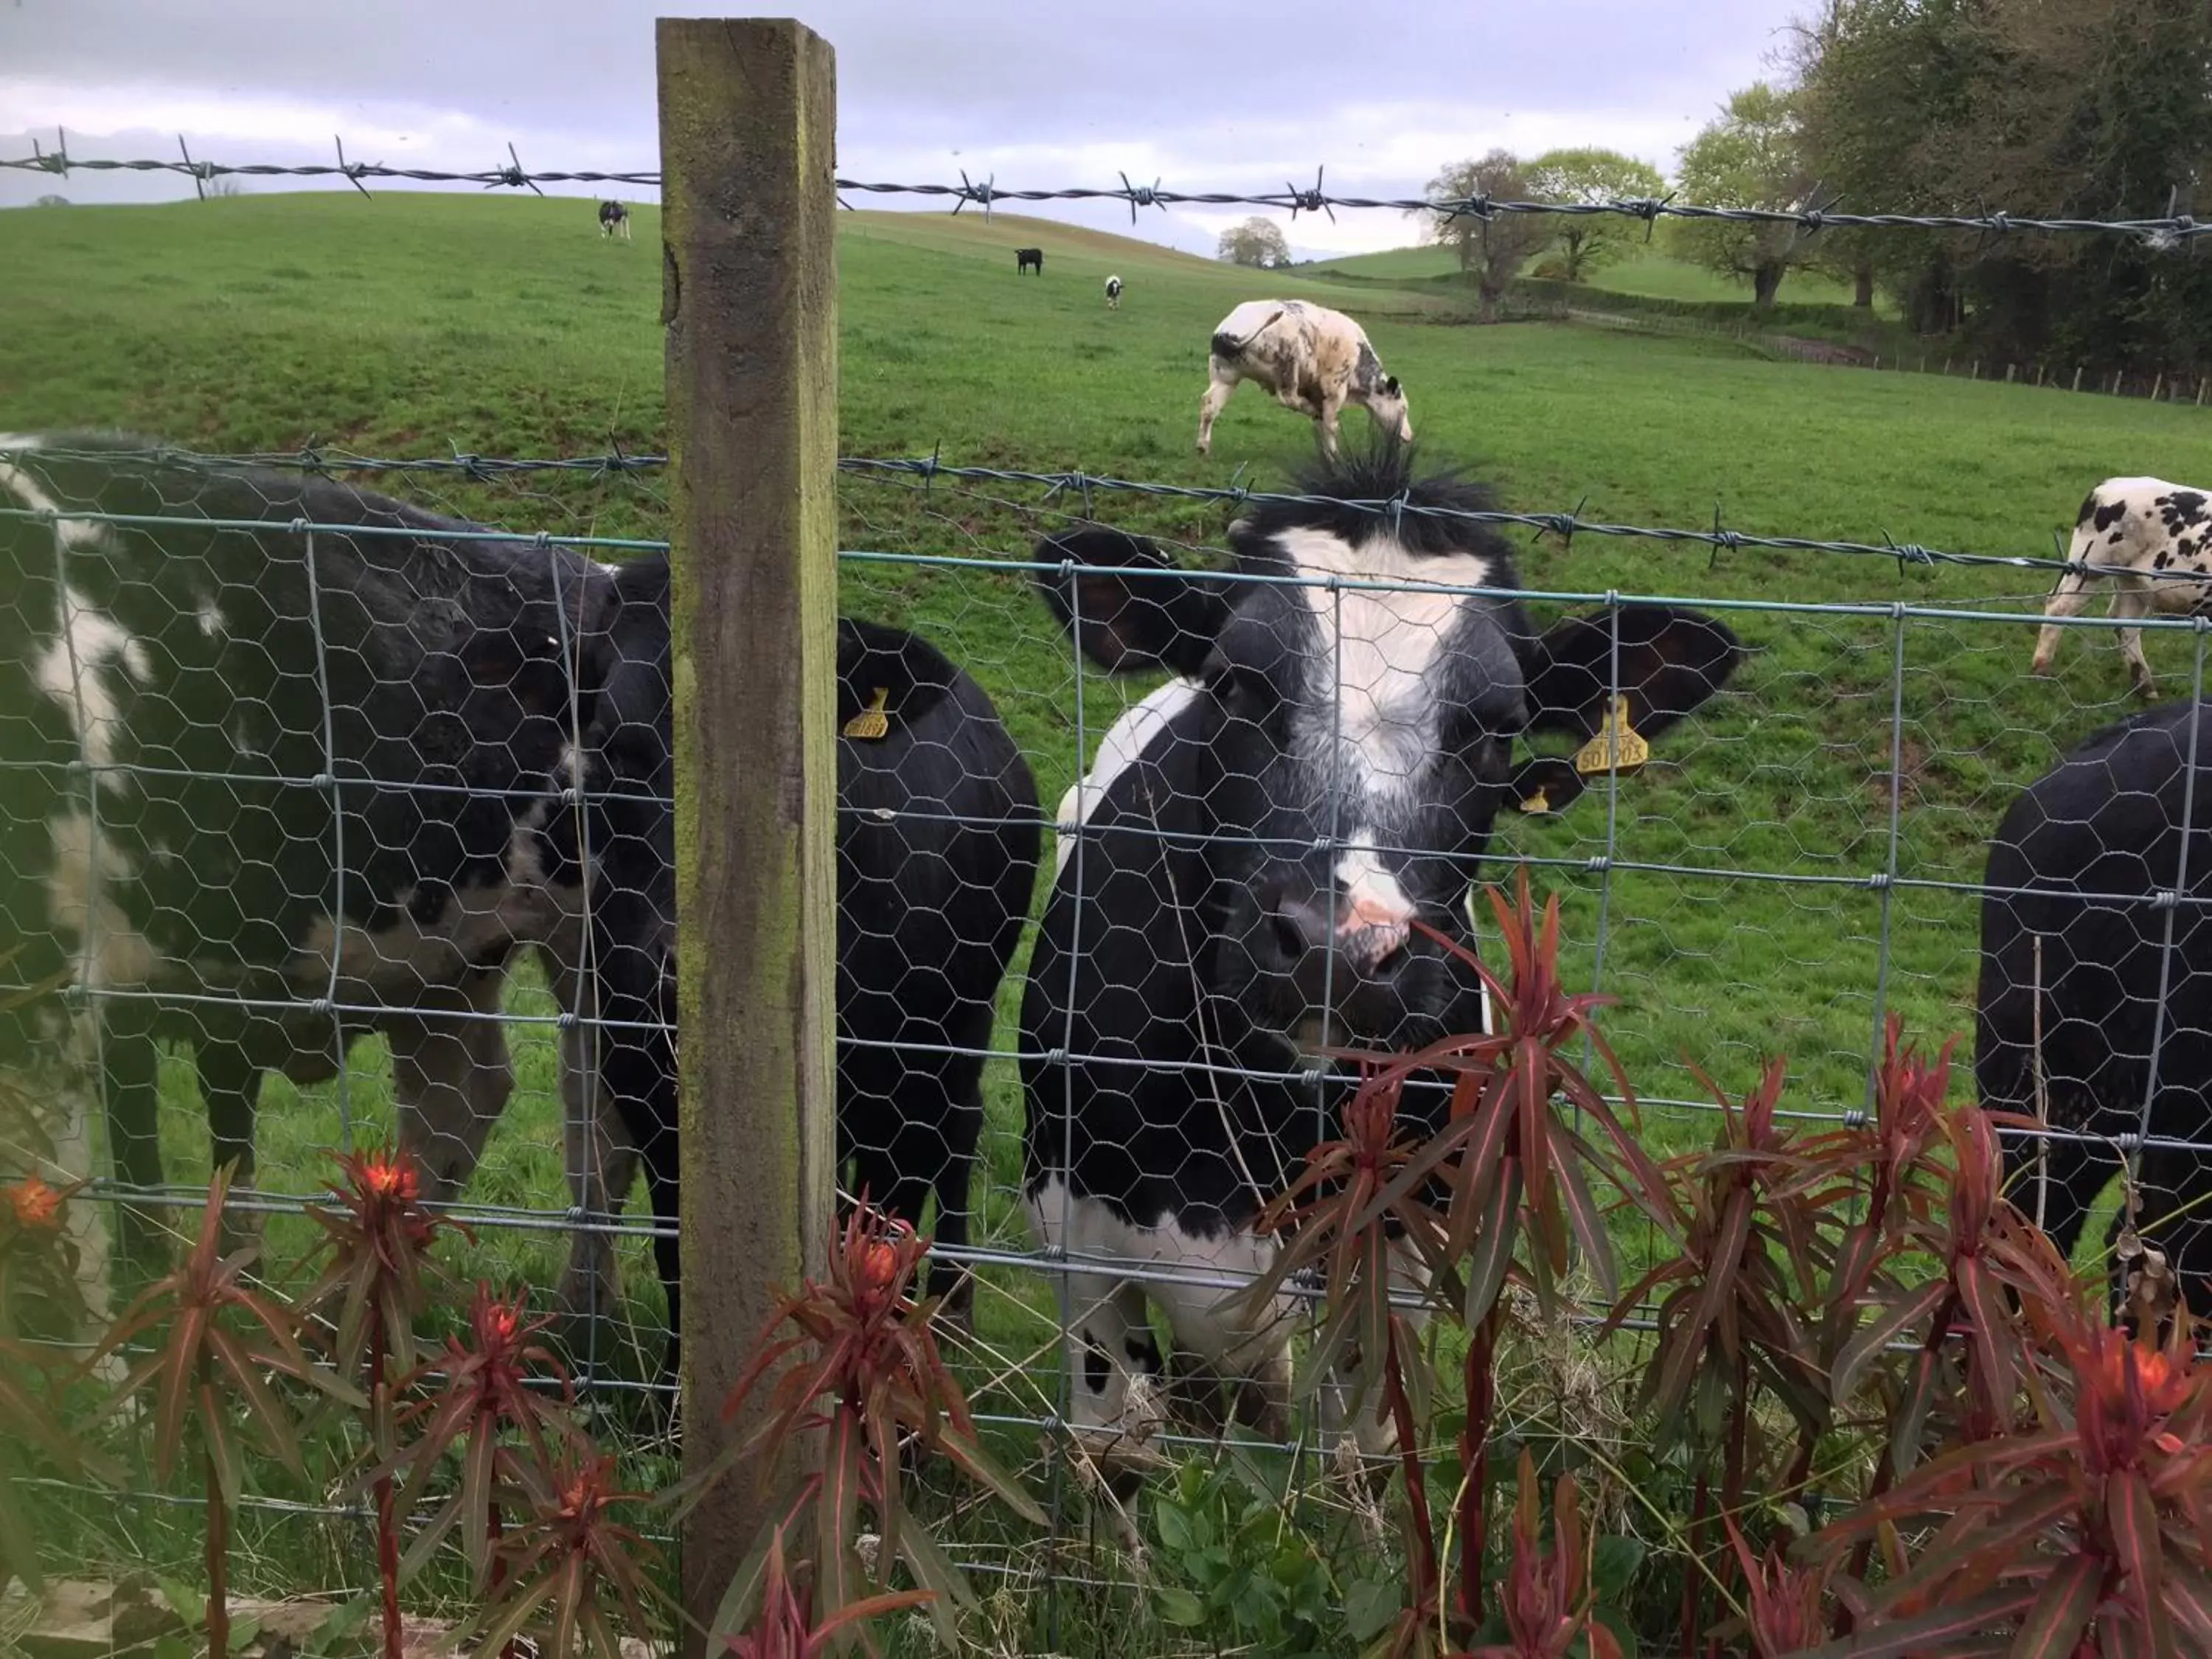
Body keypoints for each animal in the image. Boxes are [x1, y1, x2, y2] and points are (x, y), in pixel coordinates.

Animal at [1013, 445, 1743, 1469]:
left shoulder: (1396, 1269)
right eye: (1236, 683)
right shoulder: (1072, 1244)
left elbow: (1352, 1458)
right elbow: (1113, 1451)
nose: (1339, 944)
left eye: (1497, 726)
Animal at [1194, 299, 1416, 462]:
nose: (1409, 436)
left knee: (1210, 405)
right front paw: (1334, 457)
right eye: (1404, 408)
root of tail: (1232, 330)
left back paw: (1203, 446)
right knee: (1288, 398)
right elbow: (1330, 424)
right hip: (1289, 366)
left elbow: (1321, 425)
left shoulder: (1317, 392)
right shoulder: (1334, 389)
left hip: (1226, 378)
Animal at [2026, 478, 2212, 699]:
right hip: (2090, 564)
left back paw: (2145, 685)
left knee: (2124, 622)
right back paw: (2042, 669)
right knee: (2059, 606)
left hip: (2132, 580)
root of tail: (2108, 484)